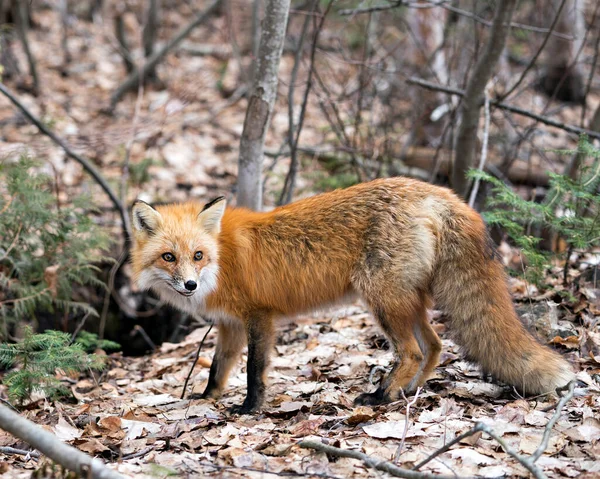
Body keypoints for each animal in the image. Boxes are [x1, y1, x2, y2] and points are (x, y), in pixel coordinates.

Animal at [132, 178, 576, 414]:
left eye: (198, 256)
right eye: (169, 257)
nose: (189, 286)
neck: (223, 260)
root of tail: (437, 191)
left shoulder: (259, 317)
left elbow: (254, 371)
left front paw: (248, 409)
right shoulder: (230, 325)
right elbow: (218, 369)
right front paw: (207, 399)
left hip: (381, 299)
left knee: (412, 351)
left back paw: (381, 396)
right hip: (405, 301)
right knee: (434, 346)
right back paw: (407, 391)